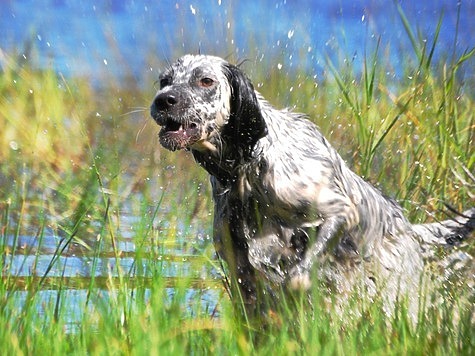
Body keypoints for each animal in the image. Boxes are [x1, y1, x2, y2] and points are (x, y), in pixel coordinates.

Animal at [150, 54, 475, 316]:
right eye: (165, 81)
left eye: (205, 81)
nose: (163, 100)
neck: (247, 168)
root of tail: (407, 226)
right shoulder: (236, 257)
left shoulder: (339, 211)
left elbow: (299, 274)